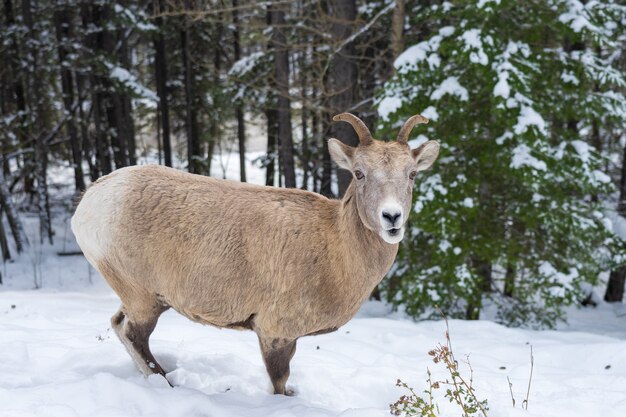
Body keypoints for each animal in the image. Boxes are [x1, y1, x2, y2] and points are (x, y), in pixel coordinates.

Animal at [70, 113, 438, 394]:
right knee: (134, 335)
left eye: (411, 174)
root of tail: (90, 201)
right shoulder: (275, 332)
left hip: (141, 298)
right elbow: (279, 383)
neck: (335, 250)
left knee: (118, 325)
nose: (391, 218)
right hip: (144, 298)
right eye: (359, 173)